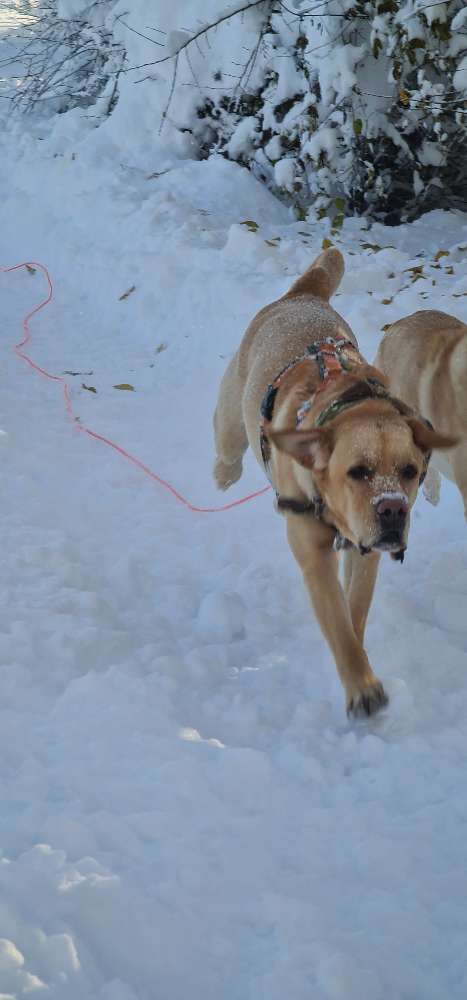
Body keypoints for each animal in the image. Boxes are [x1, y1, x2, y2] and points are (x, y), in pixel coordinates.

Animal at [214, 250, 456, 720]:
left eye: (410, 471)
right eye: (357, 471)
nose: (393, 509)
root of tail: (302, 295)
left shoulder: (365, 553)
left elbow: (354, 609)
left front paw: (360, 655)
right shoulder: (312, 550)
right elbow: (337, 623)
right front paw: (362, 687)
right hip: (234, 408)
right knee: (227, 440)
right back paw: (223, 473)